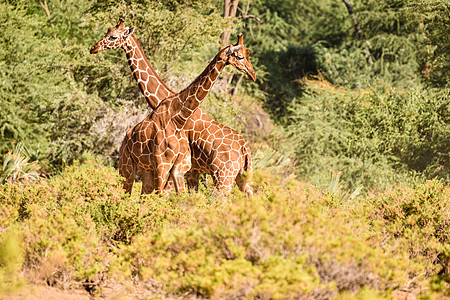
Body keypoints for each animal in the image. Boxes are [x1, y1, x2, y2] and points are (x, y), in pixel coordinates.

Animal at [89, 19, 255, 197]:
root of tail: (245, 149)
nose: (94, 48)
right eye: (108, 33)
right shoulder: (186, 170)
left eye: (113, 36)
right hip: (239, 178)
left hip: (223, 176)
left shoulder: (183, 169)